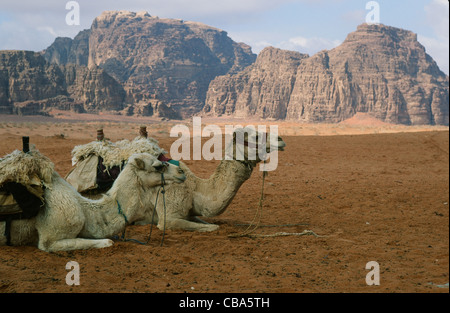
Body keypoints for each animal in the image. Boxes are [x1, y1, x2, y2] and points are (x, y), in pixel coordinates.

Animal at [0, 146, 186, 251]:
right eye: (158, 166)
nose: (182, 172)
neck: (86, 210)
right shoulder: (50, 237)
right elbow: (107, 241)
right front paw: (106, 242)